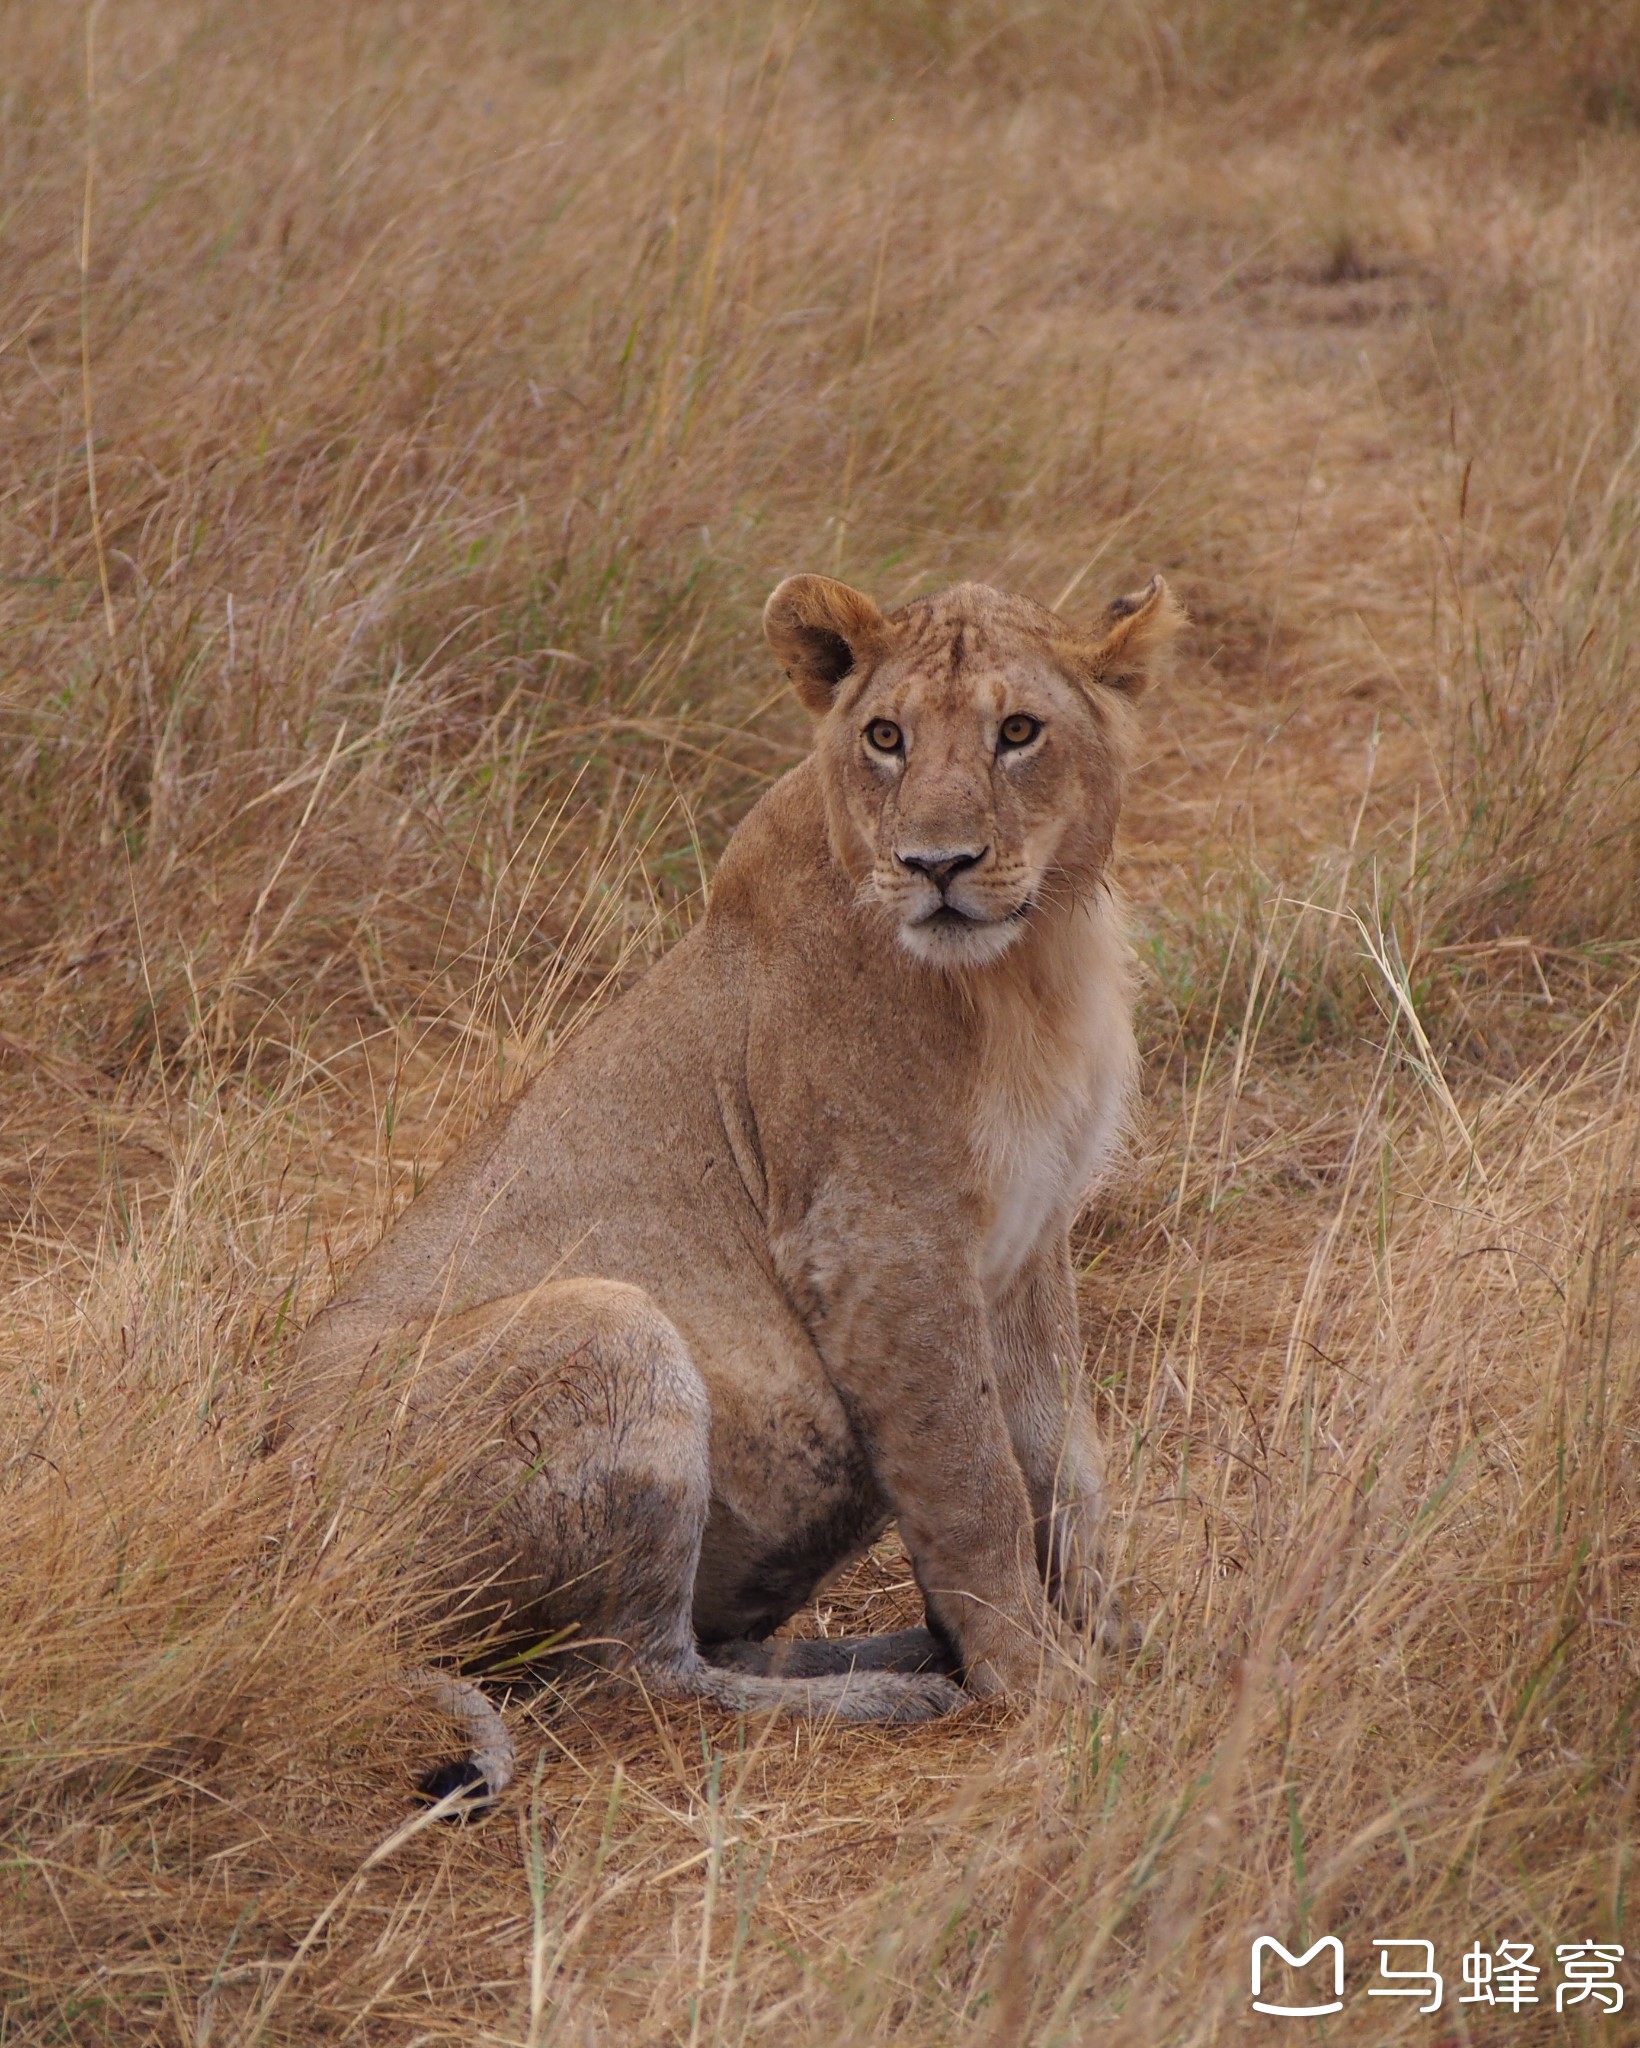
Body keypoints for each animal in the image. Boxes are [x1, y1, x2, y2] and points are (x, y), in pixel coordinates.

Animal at [278, 569, 1179, 1802]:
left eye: (1018, 732)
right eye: (886, 738)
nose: (936, 866)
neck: (1027, 970)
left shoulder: (1031, 1231)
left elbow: (1063, 1463)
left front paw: (1112, 1635)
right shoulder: (875, 1244)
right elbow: (975, 1479)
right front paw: (1045, 1687)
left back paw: (908, 1647)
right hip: (608, 1320)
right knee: (636, 1673)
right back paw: (892, 1688)